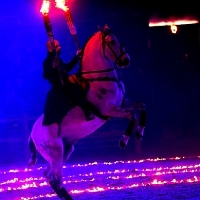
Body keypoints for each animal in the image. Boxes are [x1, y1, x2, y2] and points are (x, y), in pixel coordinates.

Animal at [30, 24, 145, 198]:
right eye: (112, 41)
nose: (126, 60)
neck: (99, 79)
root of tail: (32, 134)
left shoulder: (124, 102)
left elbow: (142, 106)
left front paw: (140, 132)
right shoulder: (110, 109)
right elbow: (132, 115)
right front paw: (123, 140)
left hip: (66, 150)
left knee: (49, 175)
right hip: (56, 153)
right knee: (56, 178)